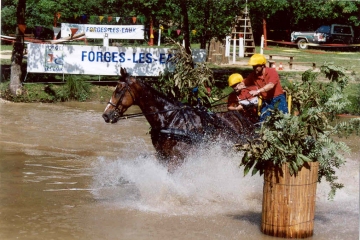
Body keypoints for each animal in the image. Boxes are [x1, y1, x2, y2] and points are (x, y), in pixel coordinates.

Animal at [102, 68, 258, 172]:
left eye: (118, 90)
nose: (106, 115)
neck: (170, 120)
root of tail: (243, 119)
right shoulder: (162, 156)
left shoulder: (178, 158)